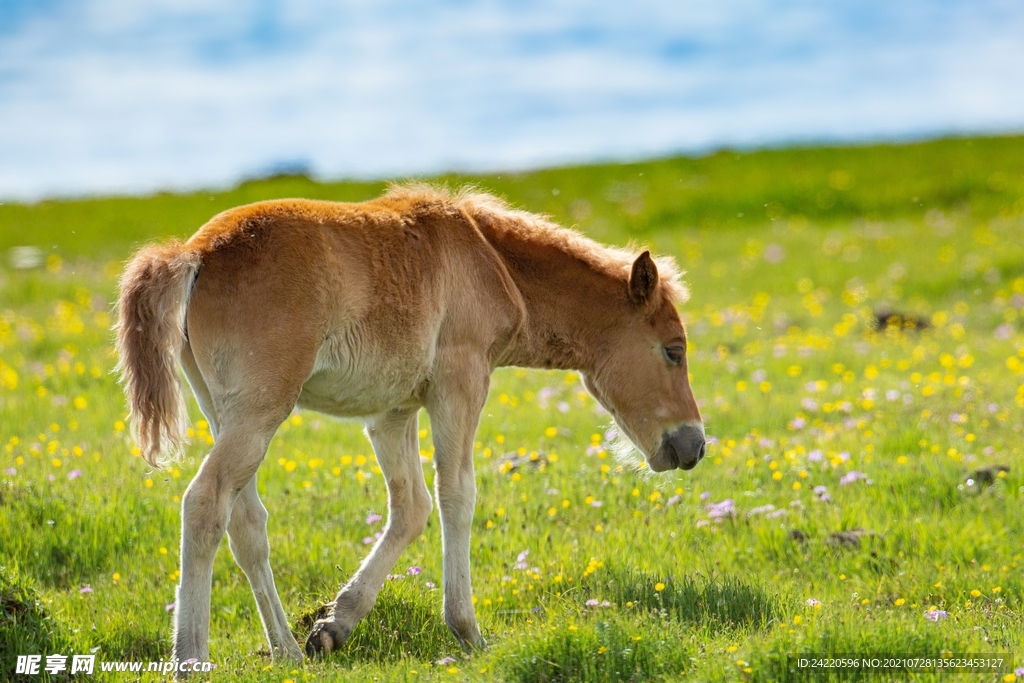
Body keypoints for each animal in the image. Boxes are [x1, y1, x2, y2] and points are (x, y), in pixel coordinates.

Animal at [115, 184, 705, 666]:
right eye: (673, 350)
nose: (694, 445)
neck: (491, 262)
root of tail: (193, 254)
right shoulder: (459, 383)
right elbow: (456, 495)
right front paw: (468, 631)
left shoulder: (391, 413)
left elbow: (412, 508)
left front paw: (334, 625)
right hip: (260, 413)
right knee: (205, 501)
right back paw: (190, 657)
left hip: (224, 411)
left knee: (245, 522)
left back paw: (286, 650)